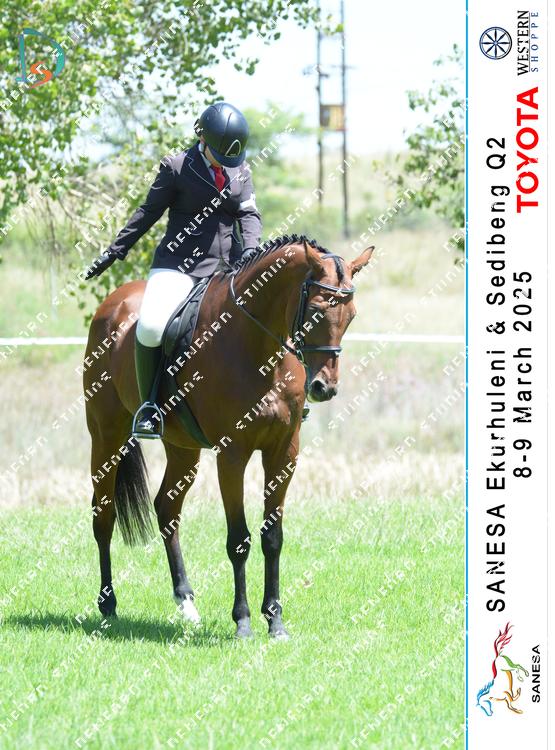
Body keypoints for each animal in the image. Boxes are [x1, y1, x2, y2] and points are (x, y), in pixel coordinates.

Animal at [83, 235, 373, 638]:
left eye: (352, 316)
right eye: (316, 310)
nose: (323, 388)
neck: (260, 348)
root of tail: (112, 303)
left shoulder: (284, 452)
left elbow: (272, 537)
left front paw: (275, 621)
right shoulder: (232, 453)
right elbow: (239, 540)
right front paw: (243, 621)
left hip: (183, 449)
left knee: (167, 510)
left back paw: (186, 603)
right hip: (105, 435)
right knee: (104, 515)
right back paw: (107, 603)